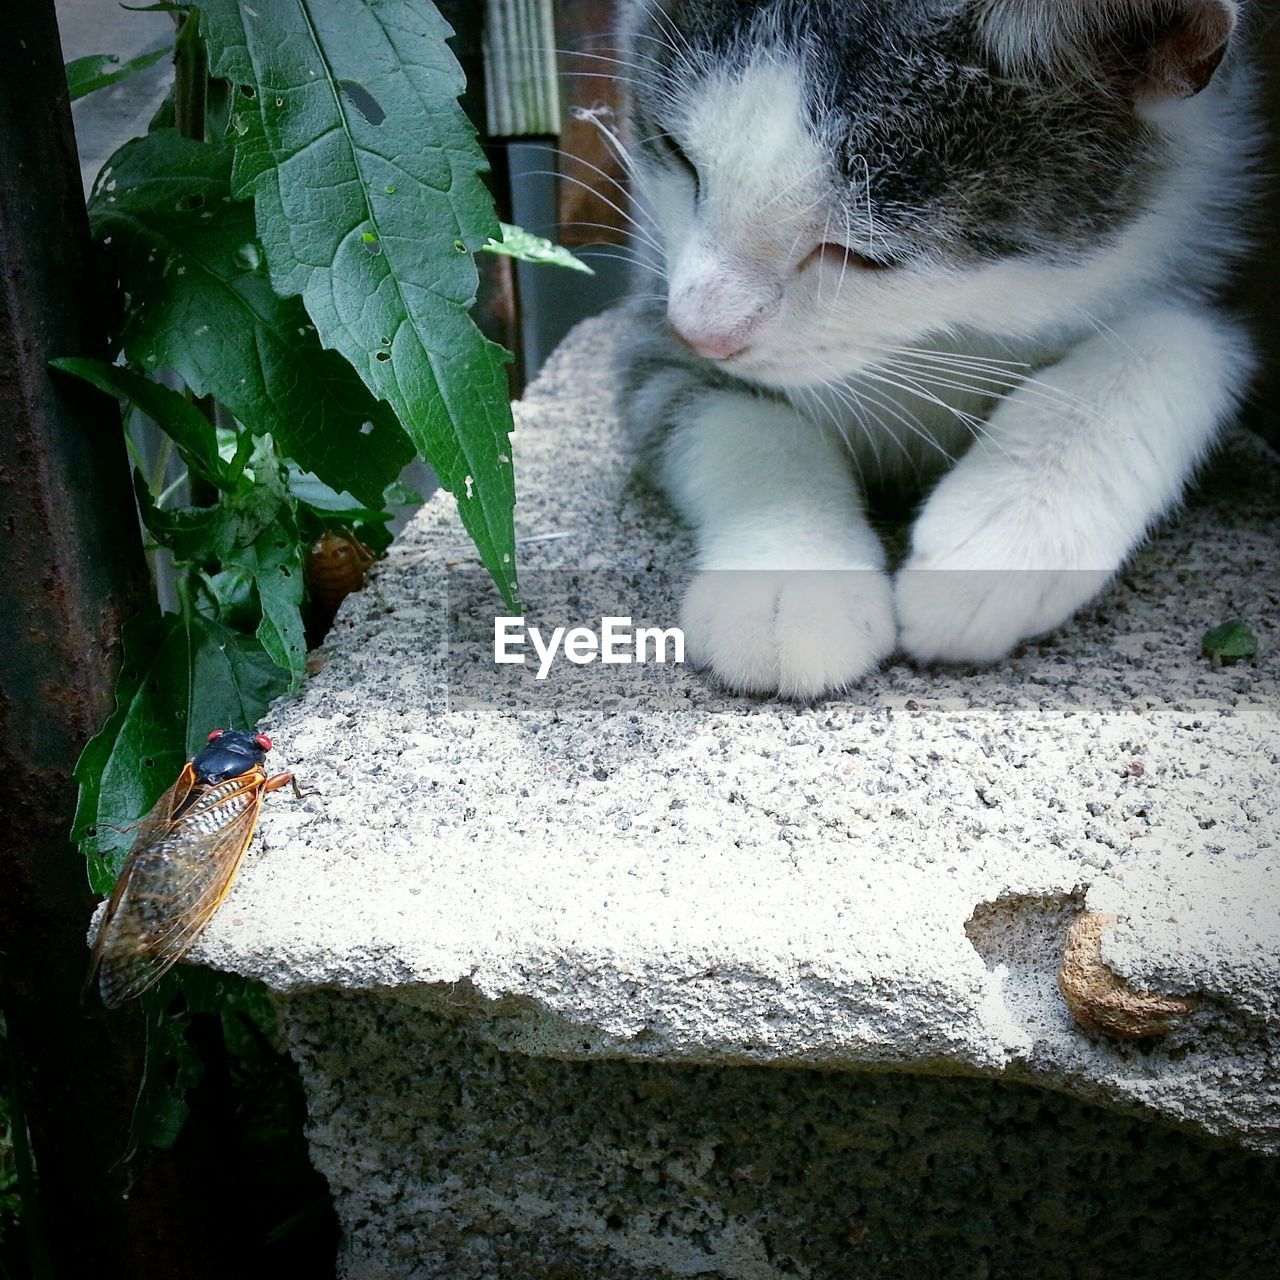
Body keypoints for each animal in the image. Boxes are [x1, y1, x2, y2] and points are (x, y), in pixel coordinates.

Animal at [611, 0, 1259, 696]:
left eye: (865, 255)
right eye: (677, 153)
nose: (700, 330)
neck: (938, 332)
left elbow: (1180, 337)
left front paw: (1009, 530)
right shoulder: (651, 297)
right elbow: (726, 413)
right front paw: (789, 582)